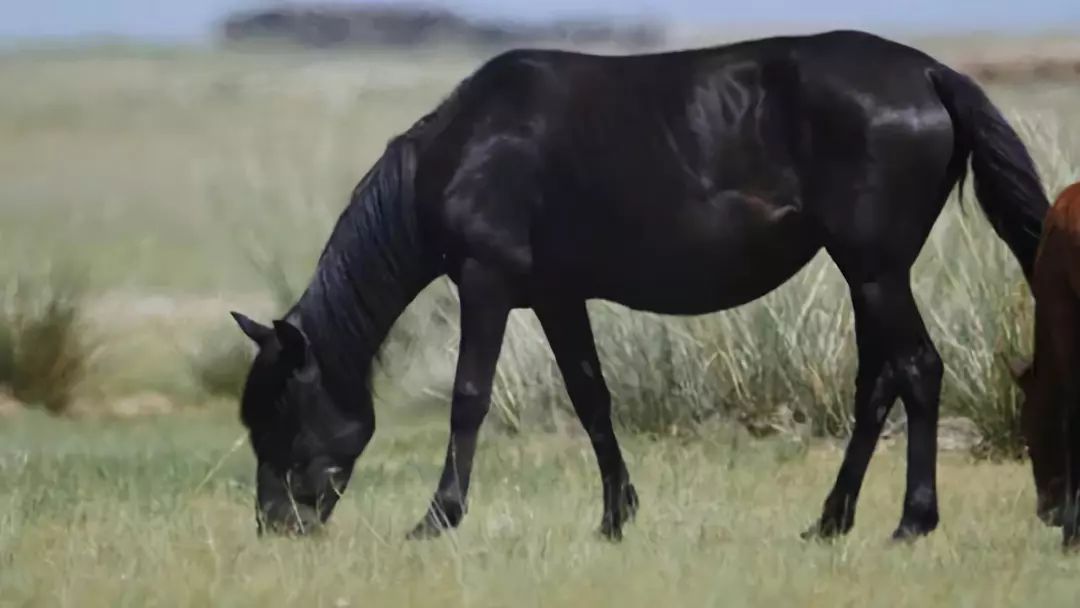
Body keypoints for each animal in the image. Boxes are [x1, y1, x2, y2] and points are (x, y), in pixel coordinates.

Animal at [227, 29, 1045, 542]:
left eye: (282, 414)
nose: (278, 525)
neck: (470, 147)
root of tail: (930, 75)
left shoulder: (487, 283)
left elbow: (469, 398)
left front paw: (437, 519)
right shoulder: (556, 296)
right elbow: (591, 398)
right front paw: (617, 516)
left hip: (875, 270)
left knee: (918, 370)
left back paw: (911, 522)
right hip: (869, 273)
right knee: (879, 381)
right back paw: (829, 520)